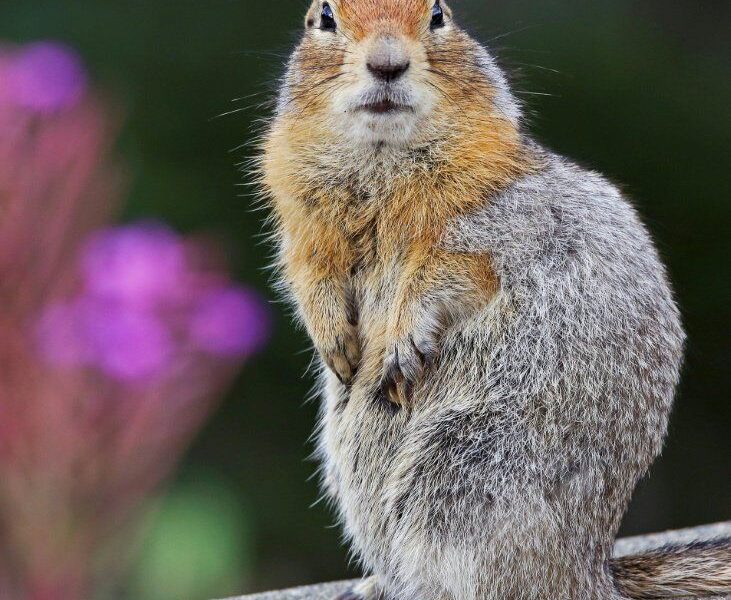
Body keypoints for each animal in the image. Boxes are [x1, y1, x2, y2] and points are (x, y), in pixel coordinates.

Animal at [259, 1, 731, 599]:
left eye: (439, 14)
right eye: (324, 16)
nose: (387, 63)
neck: (381, 166)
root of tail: (589, 569)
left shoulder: (490, 223)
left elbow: (445, 274)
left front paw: (400, 340)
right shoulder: (306, 228)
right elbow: (309, 273)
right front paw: (334, 341)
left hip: (463, 469)